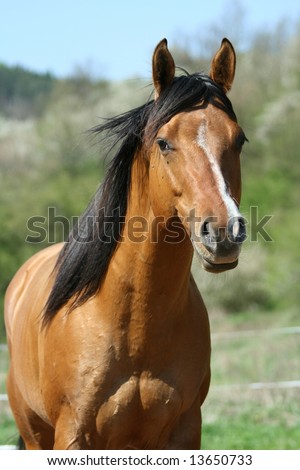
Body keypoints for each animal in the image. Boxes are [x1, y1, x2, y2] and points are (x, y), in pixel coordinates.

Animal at [4, 38, 247, 450]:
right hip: (35, 434)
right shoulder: (73, 435)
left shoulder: (185, 432)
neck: (135, 328)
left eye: (239, 139)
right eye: (164, 142)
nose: (224, 232)